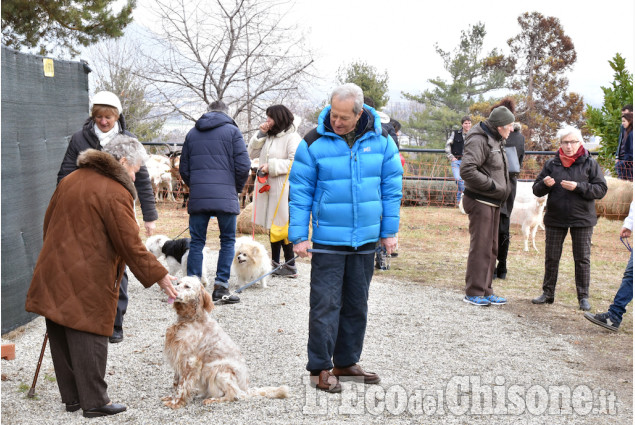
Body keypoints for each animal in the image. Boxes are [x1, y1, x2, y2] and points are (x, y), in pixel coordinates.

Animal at [163, 274, 290, 408]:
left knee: (235, 394)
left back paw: (213, 400)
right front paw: (172, 398)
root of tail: (246, 388)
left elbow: (182, 385)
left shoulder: (190, 361)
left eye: (187, 286)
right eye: (178, 283)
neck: (189, 319)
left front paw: (176, 402)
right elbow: (176, 383)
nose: (171, 290)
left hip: (220, 370)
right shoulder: (179, 359)